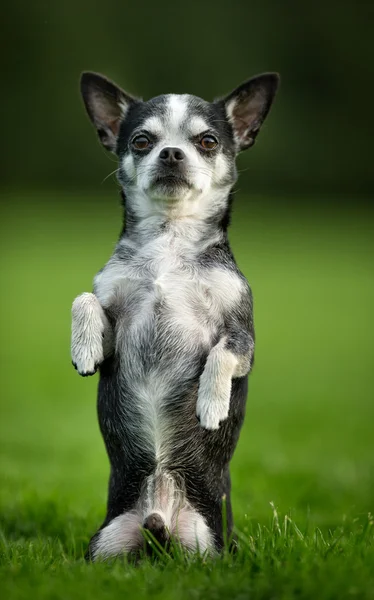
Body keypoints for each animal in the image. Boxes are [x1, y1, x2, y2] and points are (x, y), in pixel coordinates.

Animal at [71, 72, 280, 560]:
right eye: (142, 141)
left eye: (207, 141)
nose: (170, 153)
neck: (170, 239)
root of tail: (158, 524)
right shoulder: (113, 316)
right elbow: (84, 297)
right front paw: (85, 349)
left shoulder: (243, 337)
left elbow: (222, 354)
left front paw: (211, 403)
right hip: (104, 545)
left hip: (210, 548)